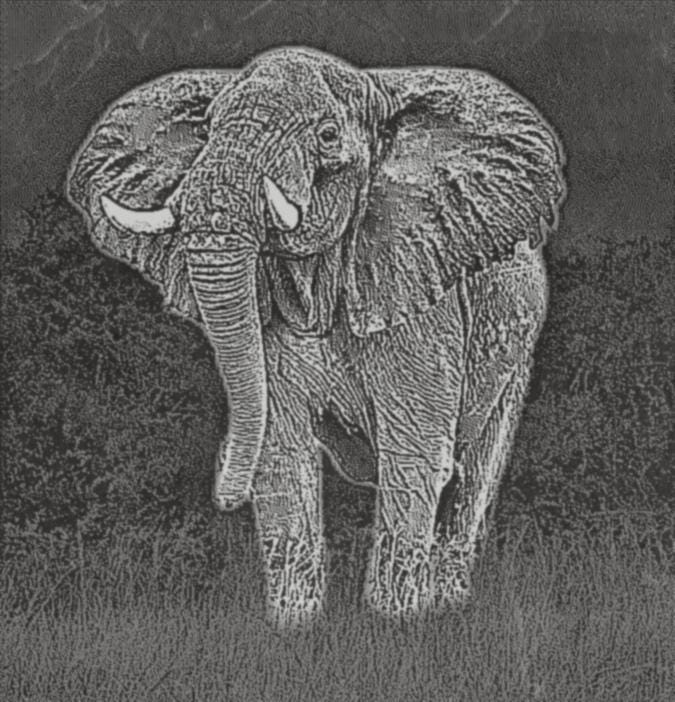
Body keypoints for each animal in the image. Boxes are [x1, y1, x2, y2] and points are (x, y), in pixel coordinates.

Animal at [68, 47, 565, 626]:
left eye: (327, 135)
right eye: (207, 128)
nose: (221, 496)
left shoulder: (420, 289)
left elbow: (415, 454)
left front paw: (395, 628)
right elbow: (283, 458)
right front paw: (295, 630)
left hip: (517, 353)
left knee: (475, 477)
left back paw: (447, 612)